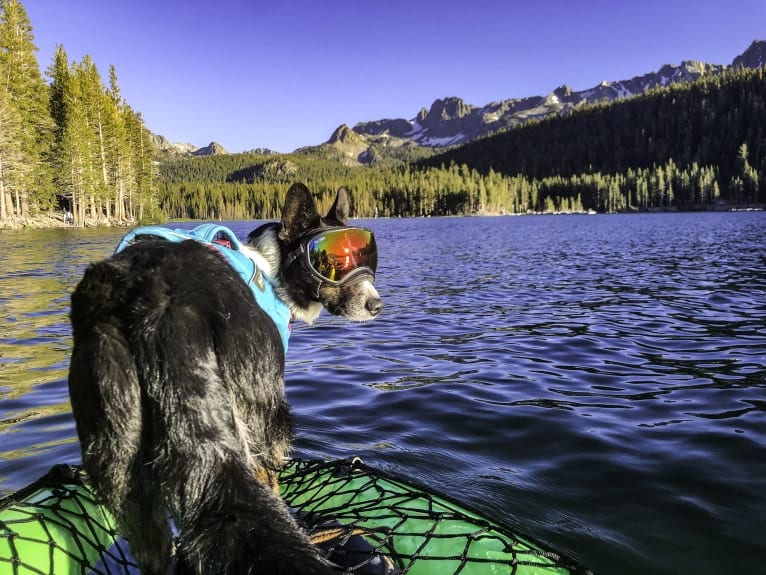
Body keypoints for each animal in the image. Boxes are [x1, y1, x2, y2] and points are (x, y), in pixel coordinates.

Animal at [68, 186, 384, 575]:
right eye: (332, 263)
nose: (377, 306)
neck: (273, 269)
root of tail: (154, 304)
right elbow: (270, 481)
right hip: (260, 404)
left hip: (115, 447)